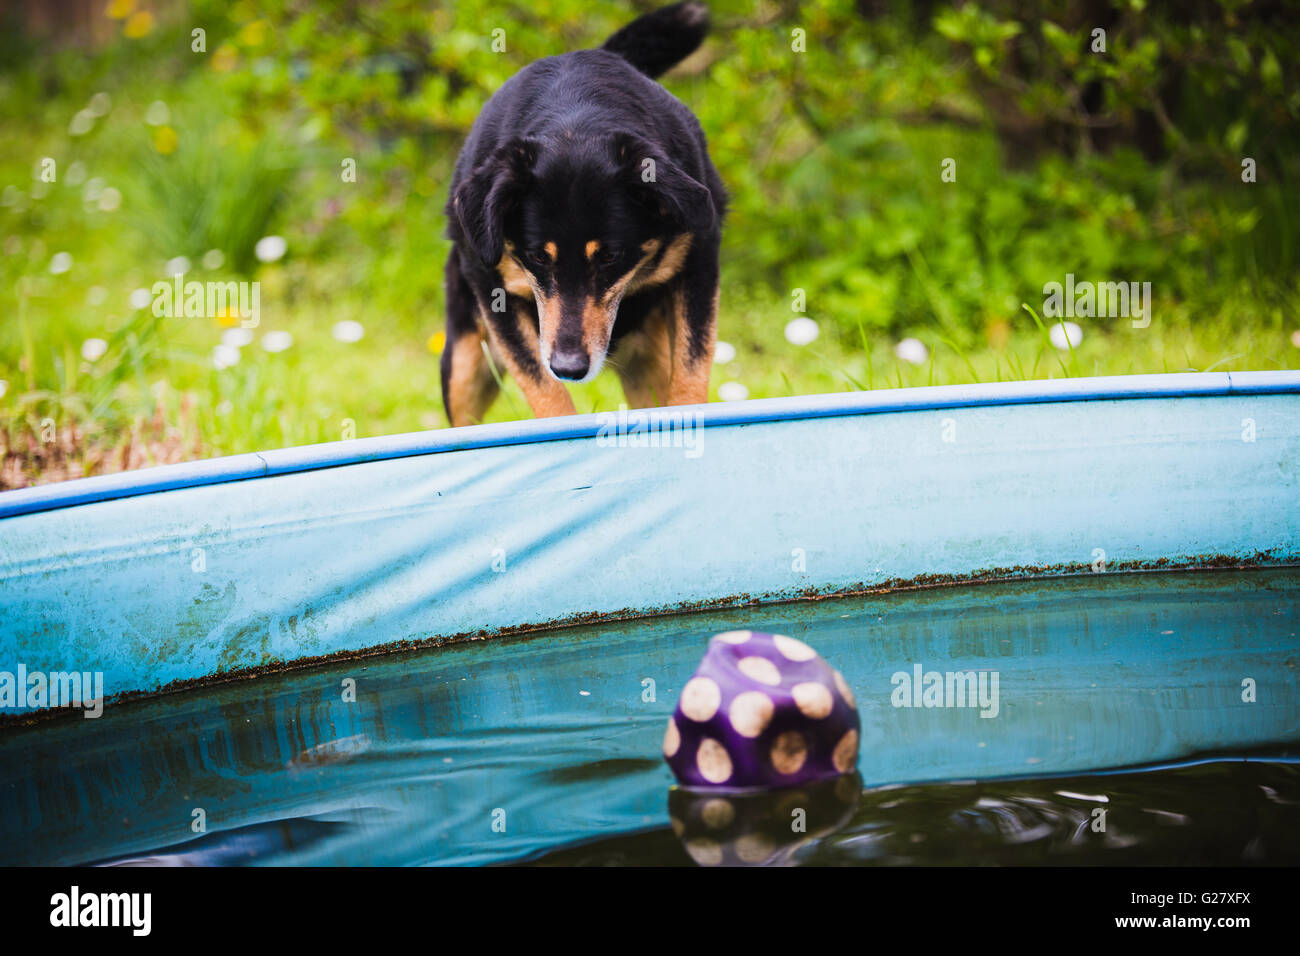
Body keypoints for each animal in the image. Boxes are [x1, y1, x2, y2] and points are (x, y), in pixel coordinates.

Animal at [444, 0, 728, 426]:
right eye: (536, 257)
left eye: (610, 256)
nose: (569, 367)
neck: (574, 123)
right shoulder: (492, 287)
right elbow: (544, 389)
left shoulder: (699, 262)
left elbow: (692, 368)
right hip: (465, 365)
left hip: (645, 356)